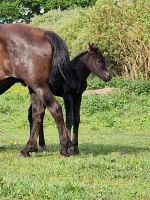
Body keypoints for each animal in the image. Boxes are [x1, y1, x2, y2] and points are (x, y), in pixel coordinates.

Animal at [0, 23, 74, 157]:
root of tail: (42, 33)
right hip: (34, 88)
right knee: (37, 113)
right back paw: (28, 148)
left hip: (39, 86)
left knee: (55, 109)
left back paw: (65, 148)